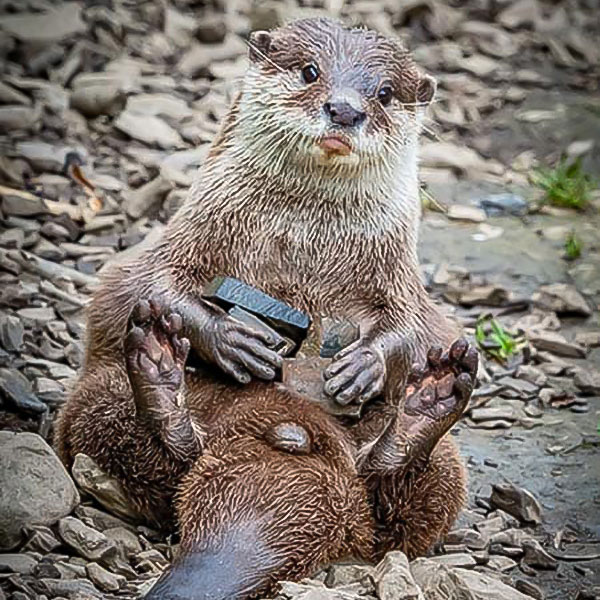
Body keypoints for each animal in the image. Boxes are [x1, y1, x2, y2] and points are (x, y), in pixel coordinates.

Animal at [55, 18, 478, 600]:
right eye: (310, 71)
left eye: (385, 93)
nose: (345, 109)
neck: (304, 238)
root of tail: (289, 441)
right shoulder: (191, 229)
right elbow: (151, 286)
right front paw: (231, 340)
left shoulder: (400, 273)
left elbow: (415, 329)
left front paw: (363, 365)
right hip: (95, 399)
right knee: (148, 444)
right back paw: (160, 372)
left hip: (440, 473)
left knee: (408, 493)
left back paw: (427, 406)